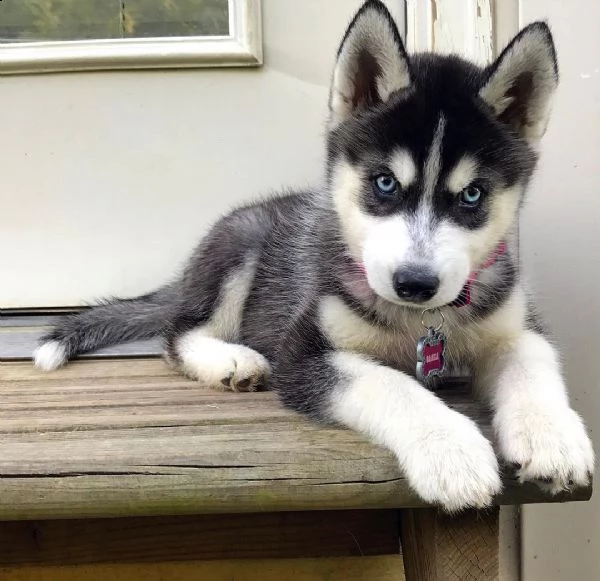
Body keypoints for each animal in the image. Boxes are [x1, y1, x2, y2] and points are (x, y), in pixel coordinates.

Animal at [35, 0, 592, 510]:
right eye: (384, 183)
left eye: (472, 195)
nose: (415, 284)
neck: (420, 323)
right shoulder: (305, 351)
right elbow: (392, 384)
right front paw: (451, 451)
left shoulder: (513, 325)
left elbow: (533, 362)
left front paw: (552, 437)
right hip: (240, 245)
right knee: (178, 335)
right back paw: (229, 360)